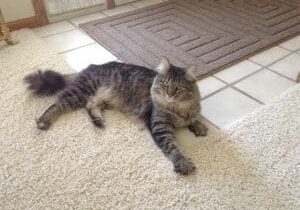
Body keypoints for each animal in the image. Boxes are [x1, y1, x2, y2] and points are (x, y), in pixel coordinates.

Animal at [24, 58, 207, 175]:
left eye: (178, 88)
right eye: (165, 84)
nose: (169, 94)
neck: (179, 109)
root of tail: (91, 66)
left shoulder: (190, 111)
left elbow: (195, 118)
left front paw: (199, 126)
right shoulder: (159, 125)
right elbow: (172, 147)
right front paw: (182, 162)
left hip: (102, 99)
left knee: (90, 106)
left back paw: (98, 121)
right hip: (79, 93)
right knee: (56, 105)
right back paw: (43, 121)